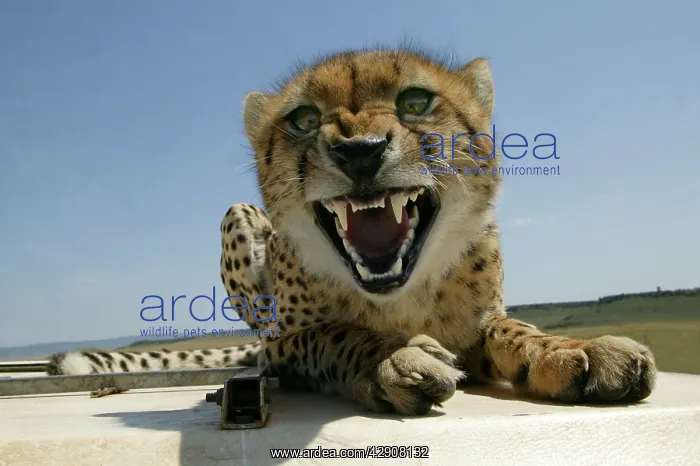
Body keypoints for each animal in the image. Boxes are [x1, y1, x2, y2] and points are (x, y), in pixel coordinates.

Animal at [46, 46, 656, 415]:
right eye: (304, 119)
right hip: (240, 221)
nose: (359, 151)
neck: (399, 296)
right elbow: (335, 334)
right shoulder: (284, 344)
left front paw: (573, 349)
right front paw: (391, 357)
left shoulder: (478, 326)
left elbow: (513, 329)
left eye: (416, 101)